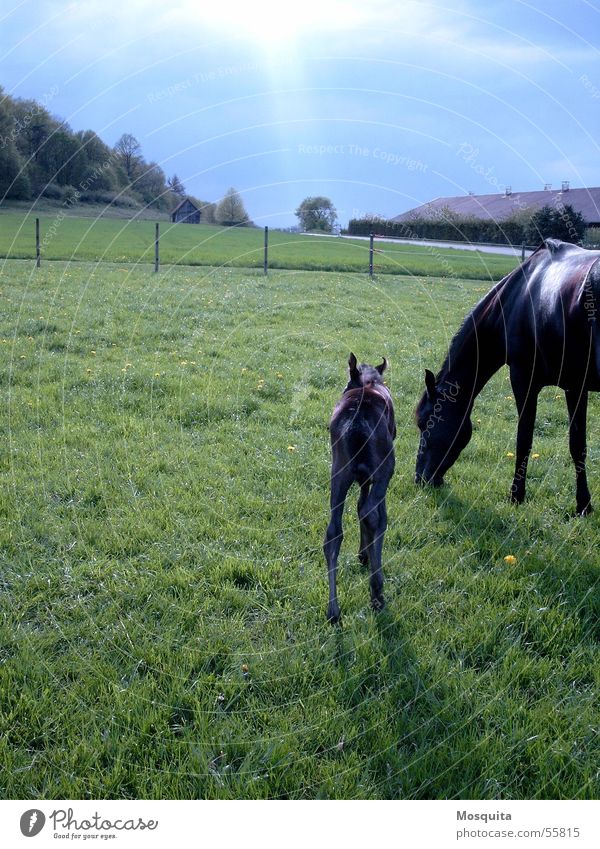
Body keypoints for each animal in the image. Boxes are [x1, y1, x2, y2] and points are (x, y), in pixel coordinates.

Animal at [326, 352, 396, 624]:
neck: (369, 381)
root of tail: (355, 427)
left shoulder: (362, 477)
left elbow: (357, 507)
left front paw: (362, 553)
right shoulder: (378, 473)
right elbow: (374, 513)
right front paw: (366, 555)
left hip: (339, 471)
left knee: (333, 532)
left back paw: (333, 611)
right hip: (386, 466)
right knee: (374, 514)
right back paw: (377, 590)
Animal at [414, 238, 600, 516]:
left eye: (425, 423)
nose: (420, 479)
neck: (518, 296)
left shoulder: (523, 379)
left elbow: (524, 440)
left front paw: (516, 496)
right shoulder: (575, 386)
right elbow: (577, 445)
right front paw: (583, 505)